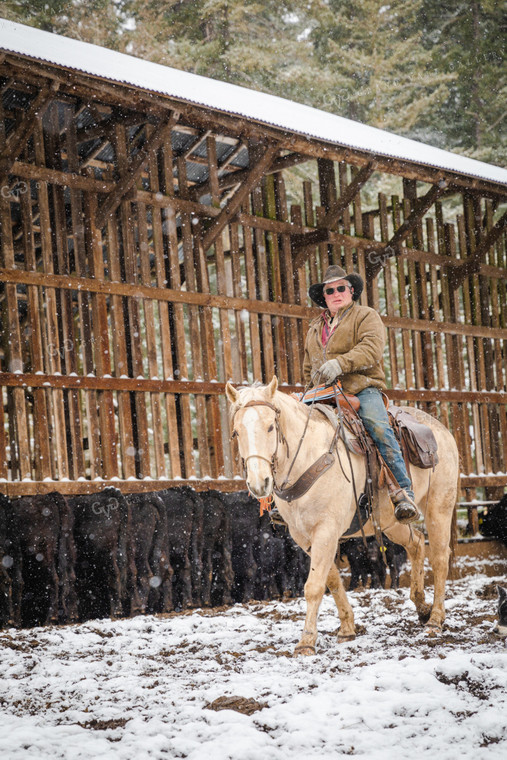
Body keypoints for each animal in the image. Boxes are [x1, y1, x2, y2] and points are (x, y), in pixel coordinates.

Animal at [226, 378, 460, 656]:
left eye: (271, 426)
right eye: (236, 432)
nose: (259, 483)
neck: (308, 456)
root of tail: (440, 428)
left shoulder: (325, 530)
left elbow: (314, 586)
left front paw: (306, 642)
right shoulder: (304, 536)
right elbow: (332, 580)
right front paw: (347, 629)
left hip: (439, 506)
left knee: (440, 557)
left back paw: (435, 619)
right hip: (389, 522)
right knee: (415, 544)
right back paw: (422, 607)